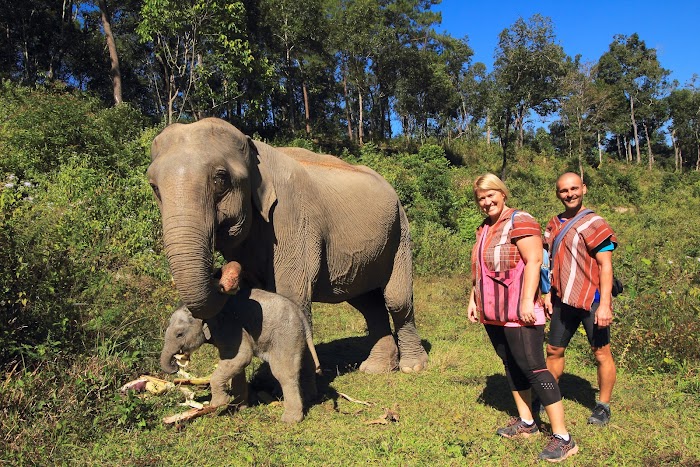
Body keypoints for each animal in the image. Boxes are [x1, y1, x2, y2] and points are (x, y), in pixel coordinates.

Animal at [149, 119, 426, 374]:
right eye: (154, 187)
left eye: (220, 179)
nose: (224, 273)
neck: (253, 148)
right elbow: (258, 303)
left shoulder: (292, 217)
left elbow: (291, 294)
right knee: (367, 303)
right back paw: (376, 369)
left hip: (400, 231)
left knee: (396, 300)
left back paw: (412, 368)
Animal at [160, 288, 322, 424]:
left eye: (179, 334)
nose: (175, 366)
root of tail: (301, 315)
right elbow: (236, 364)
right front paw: (237, 408)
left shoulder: (229, 327)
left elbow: (242, 357)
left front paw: (218, 403)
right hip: (298, 337)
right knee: (306, 363)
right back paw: (309, 398)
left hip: (286, 335)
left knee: (284, 374)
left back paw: (290, 420)